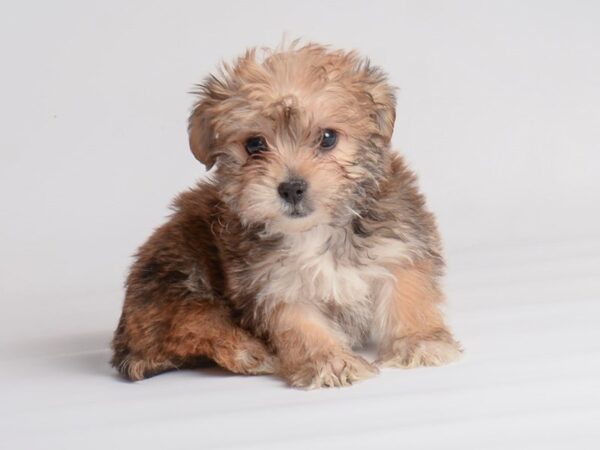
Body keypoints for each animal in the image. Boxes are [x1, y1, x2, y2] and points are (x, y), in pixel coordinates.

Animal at [111, 43, 460, 386]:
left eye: (328, 138)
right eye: (255, 144)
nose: (291, 188)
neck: (316, 230)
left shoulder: (398, 244)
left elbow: (407, 293)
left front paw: (420, 341)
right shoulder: (273, 284)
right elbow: (300, 324)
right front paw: (330, 361)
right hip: (176, 279)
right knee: (197, 324)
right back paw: (250, 352)